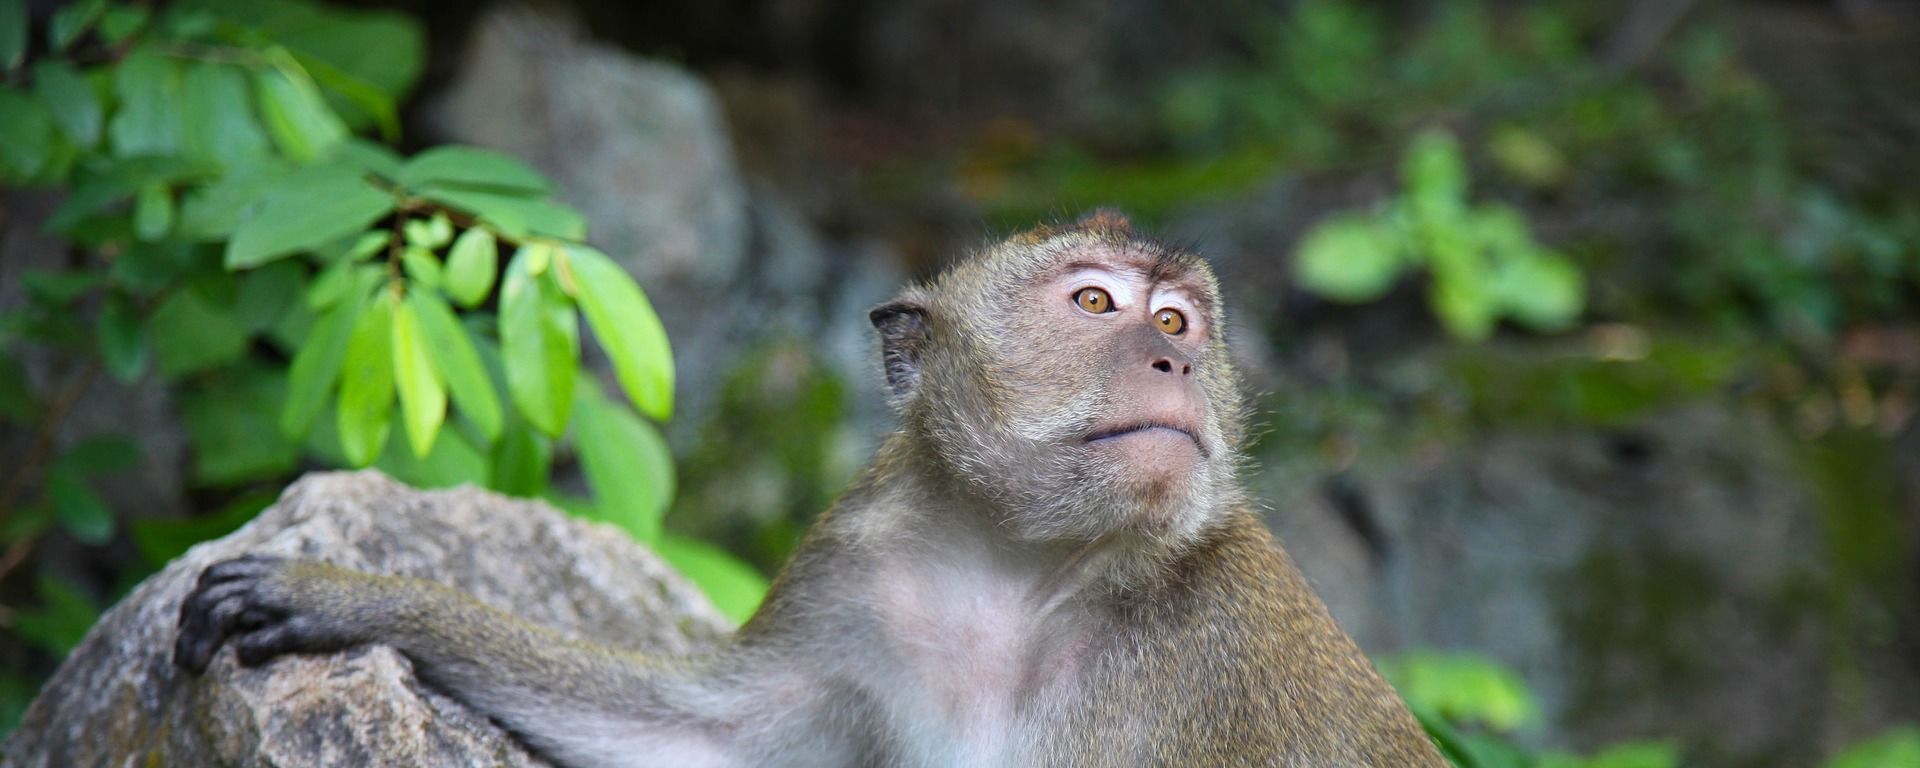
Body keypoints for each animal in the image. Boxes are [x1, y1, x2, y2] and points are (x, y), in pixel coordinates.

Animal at [176, 211, 1443, 768]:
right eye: (1097, 305)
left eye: (1179, 323)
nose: (1174, 362)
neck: (1022, 571)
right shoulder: (861, 575)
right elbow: (707, 736)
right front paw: (351, 597)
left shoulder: (1210, 657)